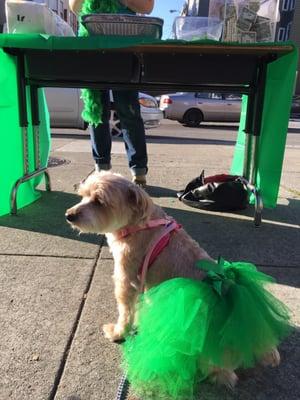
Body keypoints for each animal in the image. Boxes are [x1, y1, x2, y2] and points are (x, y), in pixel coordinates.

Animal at [64, 171, 280, 388]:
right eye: (83, 195)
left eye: (99, 201)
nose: (68, 215)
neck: (139, 224)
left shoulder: (126, 280)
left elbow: (125, 312)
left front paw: (118, 332)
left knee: (223, 372)